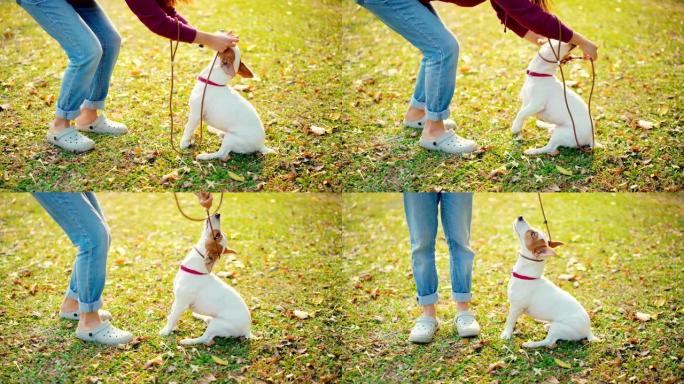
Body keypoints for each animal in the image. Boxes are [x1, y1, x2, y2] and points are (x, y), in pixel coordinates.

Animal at [160, 213, 251, 344]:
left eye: (217, 235)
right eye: (220, 234)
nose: (218, 214)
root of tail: (247, 330)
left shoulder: (181, 303)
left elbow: (172, 318)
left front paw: (166, 331)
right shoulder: (177, 301)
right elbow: (171, 314)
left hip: (217, 324)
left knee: (205, 338)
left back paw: (187, 341)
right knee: (208, 322)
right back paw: (200, 316)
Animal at [500, 216, 596, 348]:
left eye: (533, 234)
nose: (520, 217)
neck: (528, 276)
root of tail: (588, 330)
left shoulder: (516, 307)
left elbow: (509, 321)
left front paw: (506, 334)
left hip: (559, 328)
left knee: (549, 341)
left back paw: (530, 344)